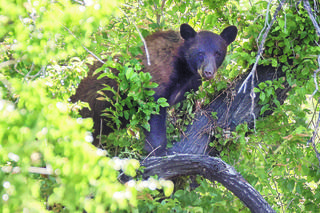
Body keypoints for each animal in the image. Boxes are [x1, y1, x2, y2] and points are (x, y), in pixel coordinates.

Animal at [72, 23, 238, 156]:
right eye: (200, 52)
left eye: (218, 53)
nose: (208, 72)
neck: (184, 68)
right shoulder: (155, 79)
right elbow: (154, 109)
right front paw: (157, 150)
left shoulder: (190, 85)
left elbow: (185, 109)